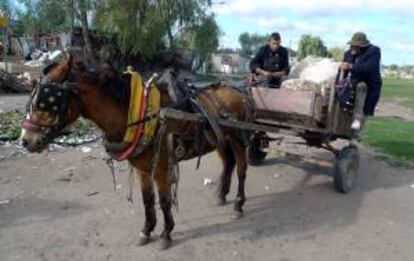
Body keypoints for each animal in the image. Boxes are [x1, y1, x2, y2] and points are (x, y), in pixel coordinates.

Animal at [21, 56, 252, 248]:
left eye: (47, 100)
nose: (26, 141)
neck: (146, 115)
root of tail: (237, 91)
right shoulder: (142, 167)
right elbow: (147, 200)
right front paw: (147, 230)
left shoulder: (160, 168)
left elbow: (164, 201)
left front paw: (166, 234)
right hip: (221, 139)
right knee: (229, 163)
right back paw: (222, 195)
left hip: (238, 139)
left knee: (241, 169)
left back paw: (238, 205)